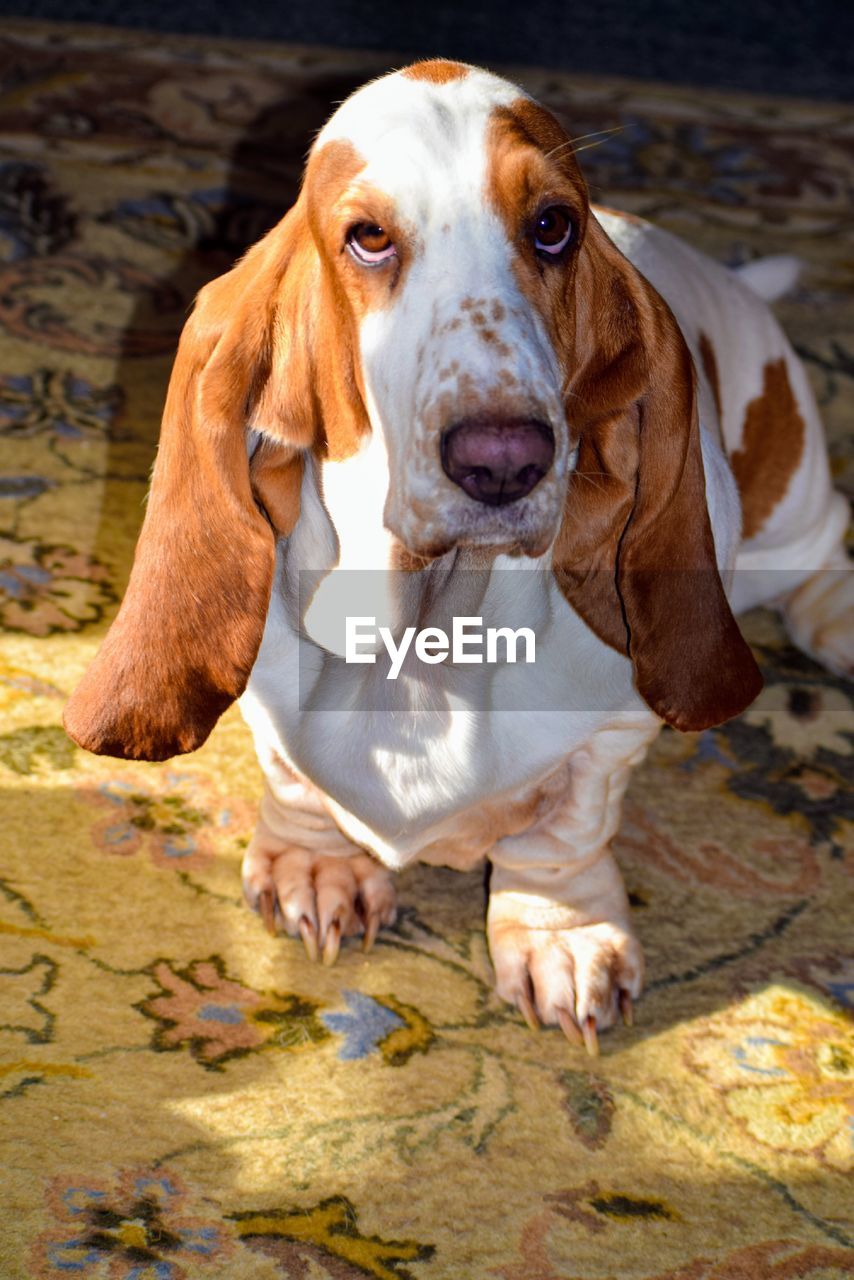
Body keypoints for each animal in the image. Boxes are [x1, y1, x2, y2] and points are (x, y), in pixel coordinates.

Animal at [63, 57, 850, 1049]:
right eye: (367, 238)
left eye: (553, 226)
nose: (503, 459)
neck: (430, 635)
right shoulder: (271, 704)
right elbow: (294, 780)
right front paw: (315, 868)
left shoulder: (615, 732)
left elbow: (565, 831)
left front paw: (563, 937)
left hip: (788, 506)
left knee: (825, 545)